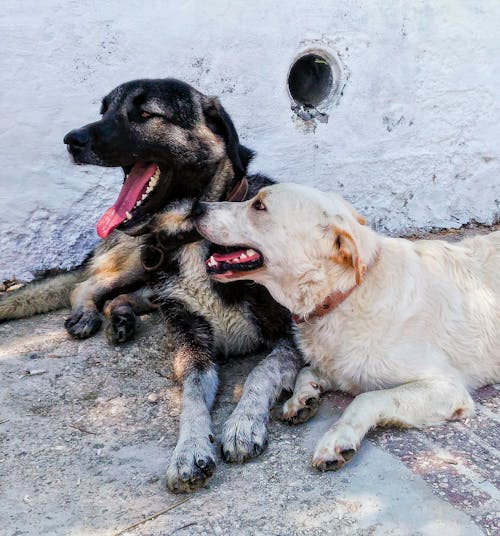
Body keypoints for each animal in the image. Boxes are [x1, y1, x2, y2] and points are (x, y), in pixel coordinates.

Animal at [196, 183, 500, 468]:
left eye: (259, 205)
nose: (198, 206)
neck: (344, 295)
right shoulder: (341, 368)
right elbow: (307, 371)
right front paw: (304, 398)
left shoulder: (447, 388)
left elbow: (367, 398)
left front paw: (337, 439)